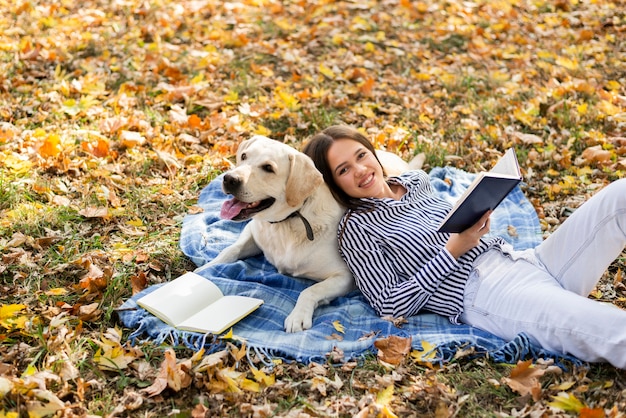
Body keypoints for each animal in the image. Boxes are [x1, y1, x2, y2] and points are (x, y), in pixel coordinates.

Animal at [205, 136, 410, 332]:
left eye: (268, 168)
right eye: (244, 156)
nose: (229, 179)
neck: (287, 222)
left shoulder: (345, 276)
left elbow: (310, 290)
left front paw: (297, 316)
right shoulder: (252, 230)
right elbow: (230, 251)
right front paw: (204, 270)